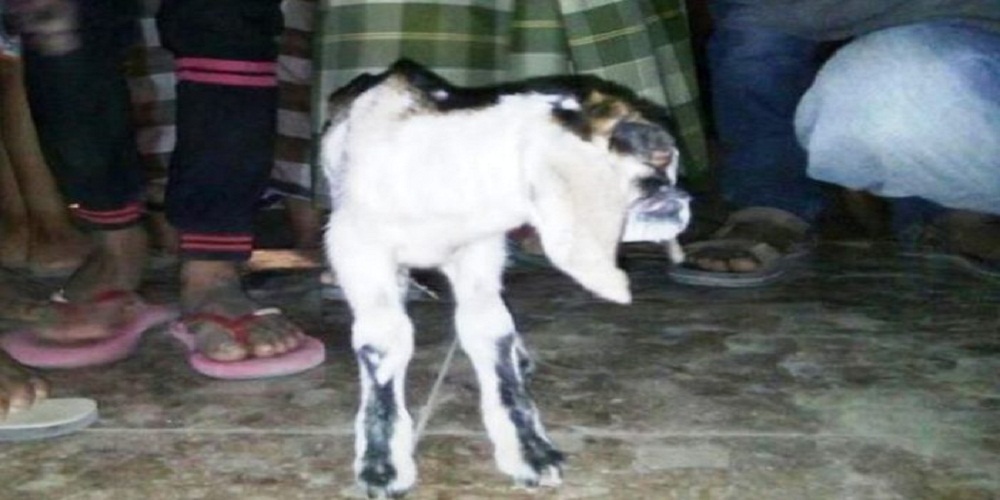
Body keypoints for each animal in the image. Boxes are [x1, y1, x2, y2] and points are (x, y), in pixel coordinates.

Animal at [324, 61, 684, 496]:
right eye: (653, 169)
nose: (680, 202)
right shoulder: (359, 250)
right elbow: (384, 342)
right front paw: (382, 464)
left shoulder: (479, 253)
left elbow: (491, 333)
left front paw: (530, 452)